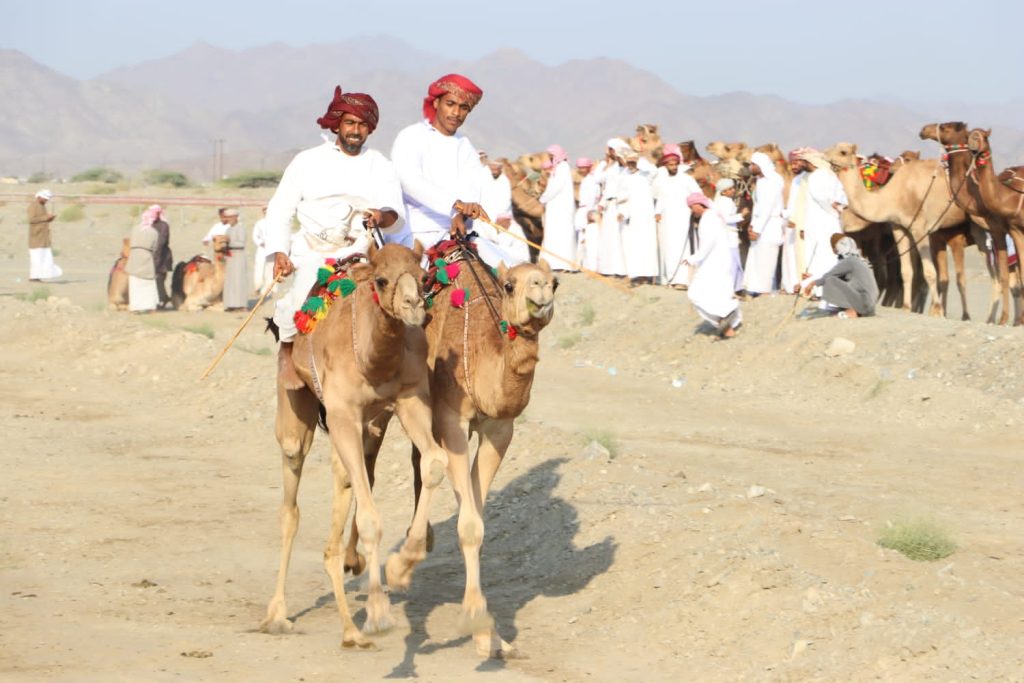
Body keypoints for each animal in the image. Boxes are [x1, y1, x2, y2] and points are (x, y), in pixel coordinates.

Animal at [260, 242, 452, 650]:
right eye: (381, 280)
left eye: (422, 274)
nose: (414, 306)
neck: (371, 358)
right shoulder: (343, 413)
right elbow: (368, 518)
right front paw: (378, 613)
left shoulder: (409, 399)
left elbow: (433, 463)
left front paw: (404, 564)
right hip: (298, 402)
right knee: (292, 488)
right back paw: (278, 615)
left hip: (365, 425)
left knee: (344, 478)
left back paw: (349, 625)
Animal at [345, 243, 557, 657]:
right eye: (509, 285)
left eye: (554, 280)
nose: (541, 290)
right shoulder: (451, 420)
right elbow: (469, 523)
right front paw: (404, 570)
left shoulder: (498, 430)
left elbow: (473, 515)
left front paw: (490, 634)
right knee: (363, 468)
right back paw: (358, 563)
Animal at [825, 142, 971, 316]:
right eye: (831, 147)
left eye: (843, 152)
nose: (824, 155)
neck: (895, 195)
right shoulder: (898, 227)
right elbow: (906, 272)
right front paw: (906, 307)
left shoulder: (920, 228)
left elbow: (929, 272)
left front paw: (937, 310)